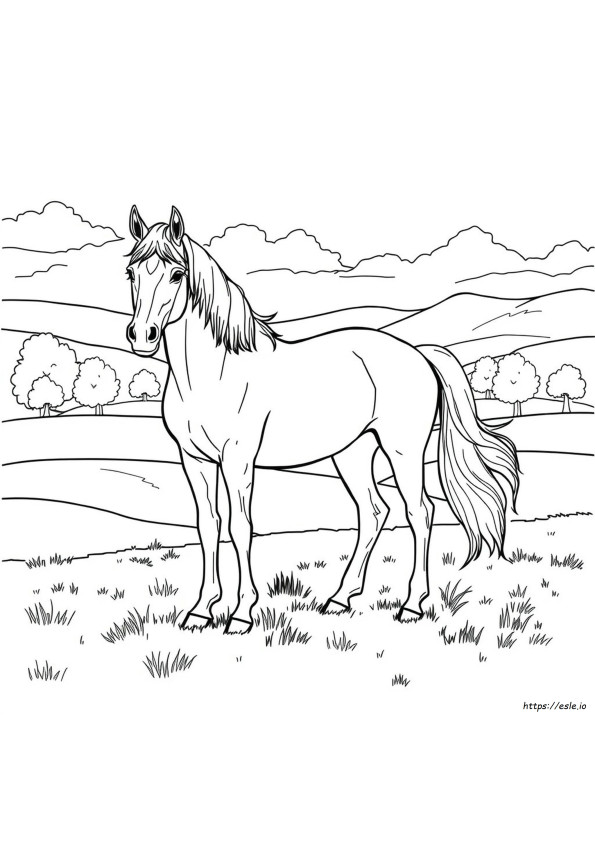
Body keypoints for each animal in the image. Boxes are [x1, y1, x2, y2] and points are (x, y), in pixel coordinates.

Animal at [125, 205, 519, 634]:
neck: (213, 373)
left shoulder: (238, 459)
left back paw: (411, 604)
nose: (141, 336)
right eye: (131, 273)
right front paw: (202, 611)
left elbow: (240, 527)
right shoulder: (193, 459)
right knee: (373, 512)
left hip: (403, 451)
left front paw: (241, 614)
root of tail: (420, 352)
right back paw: (340, 598)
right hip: (353, 453)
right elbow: (209, 526)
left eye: (177, 274)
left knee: (420, 513)